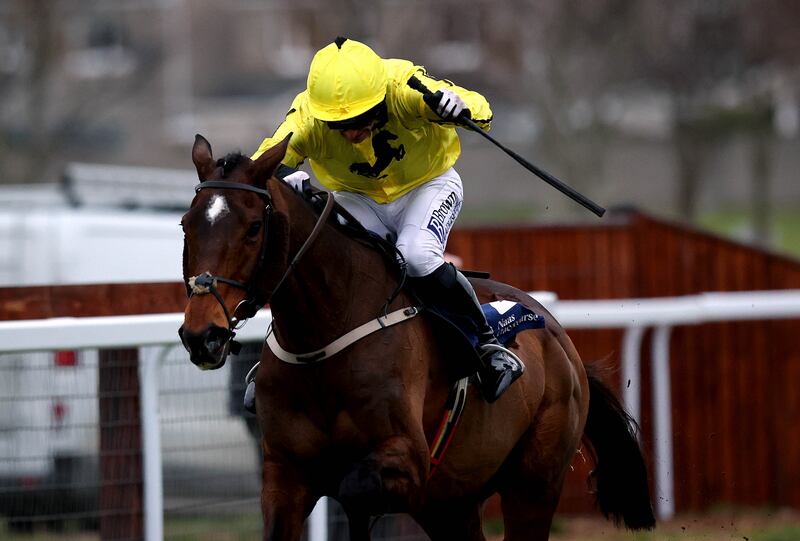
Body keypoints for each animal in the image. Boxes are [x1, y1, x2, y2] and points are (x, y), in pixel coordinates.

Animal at [180, 135, 656, 540]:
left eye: (252, 228)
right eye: (187, 225)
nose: (202, 335)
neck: (324, 337)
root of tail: (561, 341)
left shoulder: (410, 463)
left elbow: (354, 489)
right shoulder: (285, 475)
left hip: (534, 484)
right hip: (452, 503)